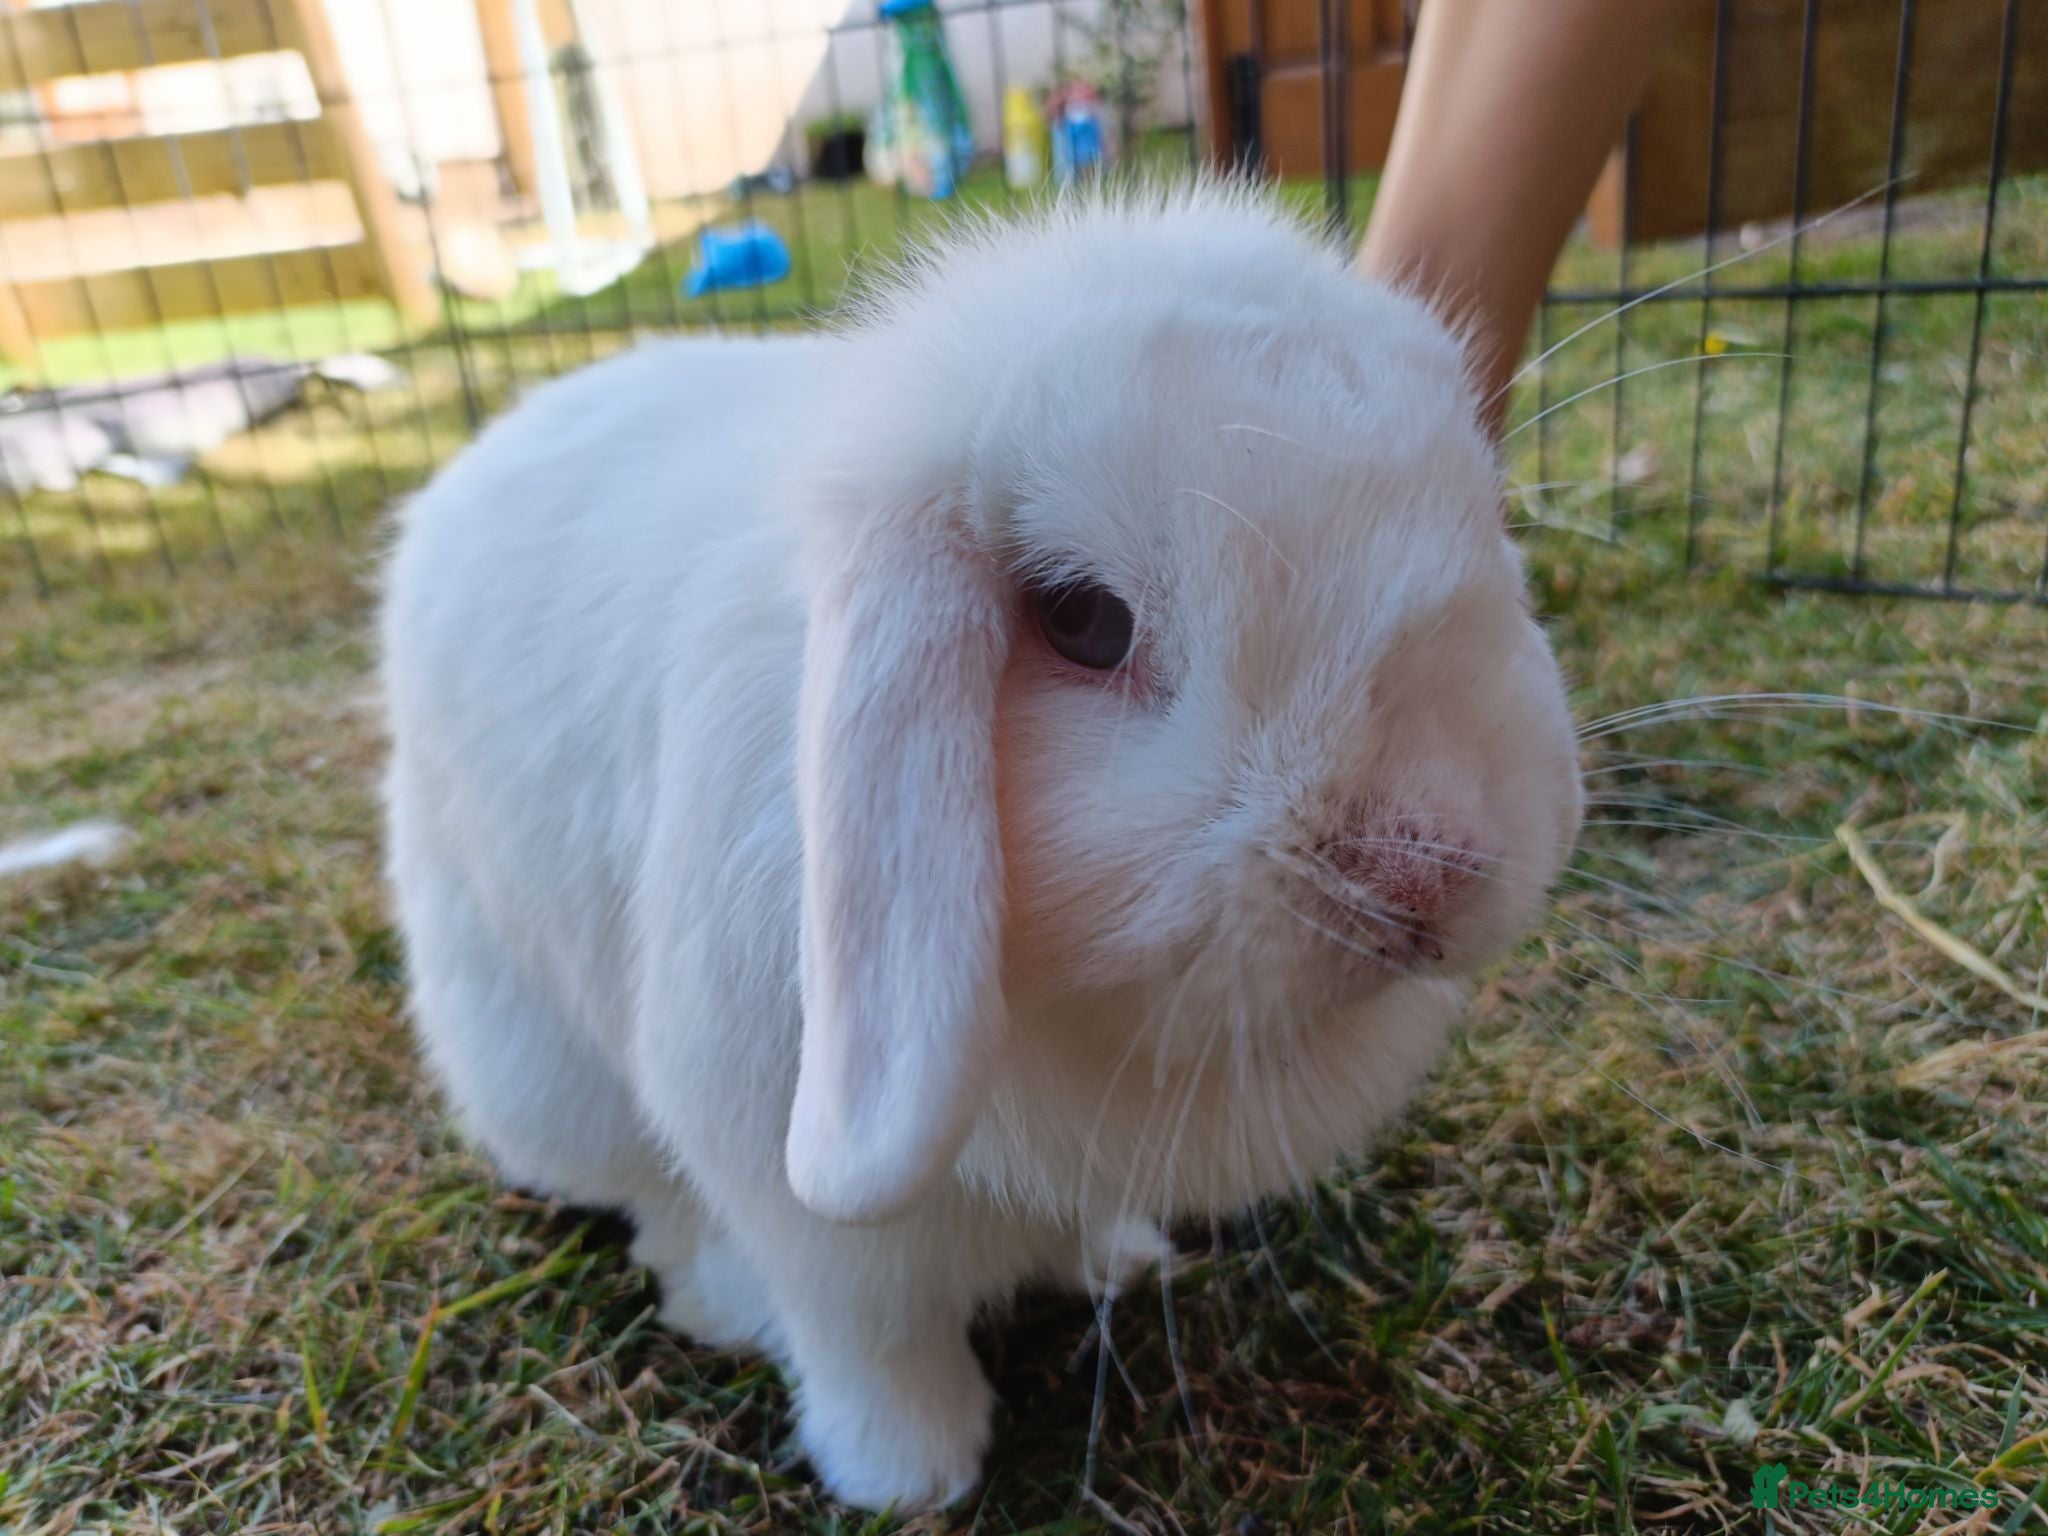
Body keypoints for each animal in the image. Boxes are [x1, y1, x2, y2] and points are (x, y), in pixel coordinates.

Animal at [380, 183, 1584, 1512]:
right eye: (1084, 621)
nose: (1429, 873)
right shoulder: (809, 1214)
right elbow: (873, 1341)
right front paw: (911, 1476)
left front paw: (1113, 1261)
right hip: (528, 1049)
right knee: (643, 1196)